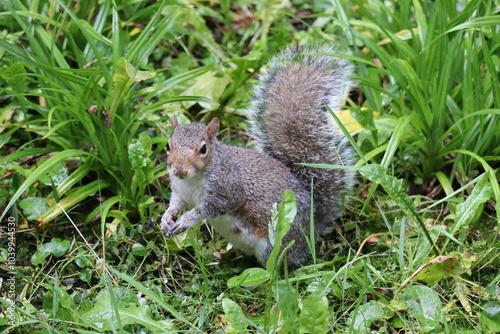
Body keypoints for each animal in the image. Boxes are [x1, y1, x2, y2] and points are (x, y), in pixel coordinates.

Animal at [161, 46, 356, 266]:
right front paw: (166, 218)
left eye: (203, 149)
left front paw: (186, 220)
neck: (192, 180)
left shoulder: (229, 189)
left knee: (275, 267)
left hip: (275, 243)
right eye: (168, 145)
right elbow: (176, 203)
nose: (179, 170)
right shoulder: (180, 190)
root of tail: (313, 228)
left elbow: (211, 208)